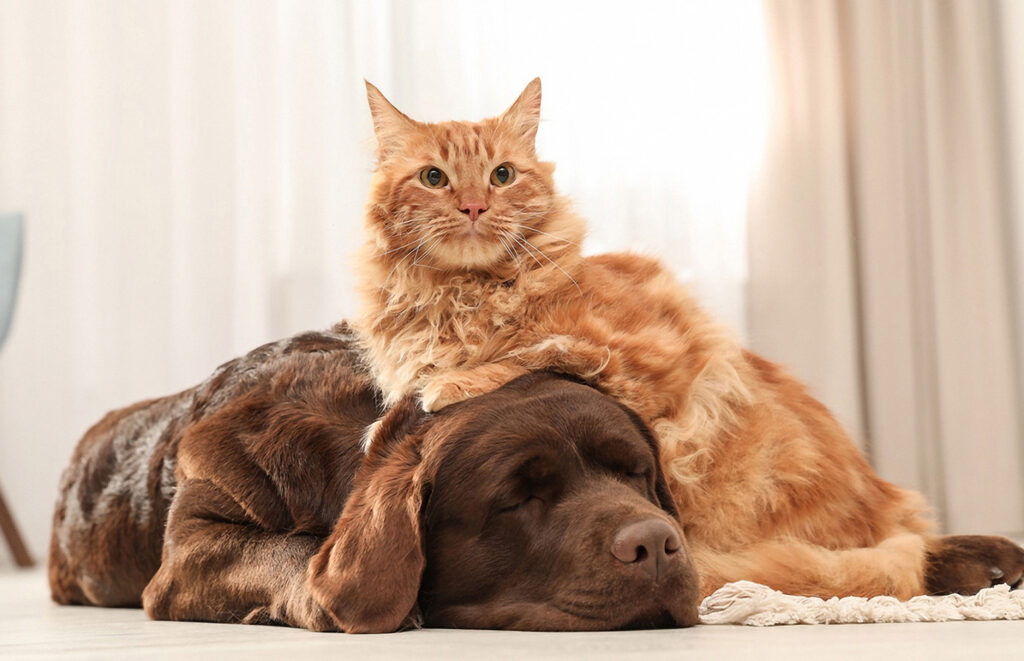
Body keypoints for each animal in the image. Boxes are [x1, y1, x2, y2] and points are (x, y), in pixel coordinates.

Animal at [354, 78, 1024, 601]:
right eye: (434, 178)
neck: (461, 296)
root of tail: (894, 515)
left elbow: (528, 352)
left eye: (502, 176)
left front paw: (446, 382)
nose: (472, 207)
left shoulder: (652, 358)